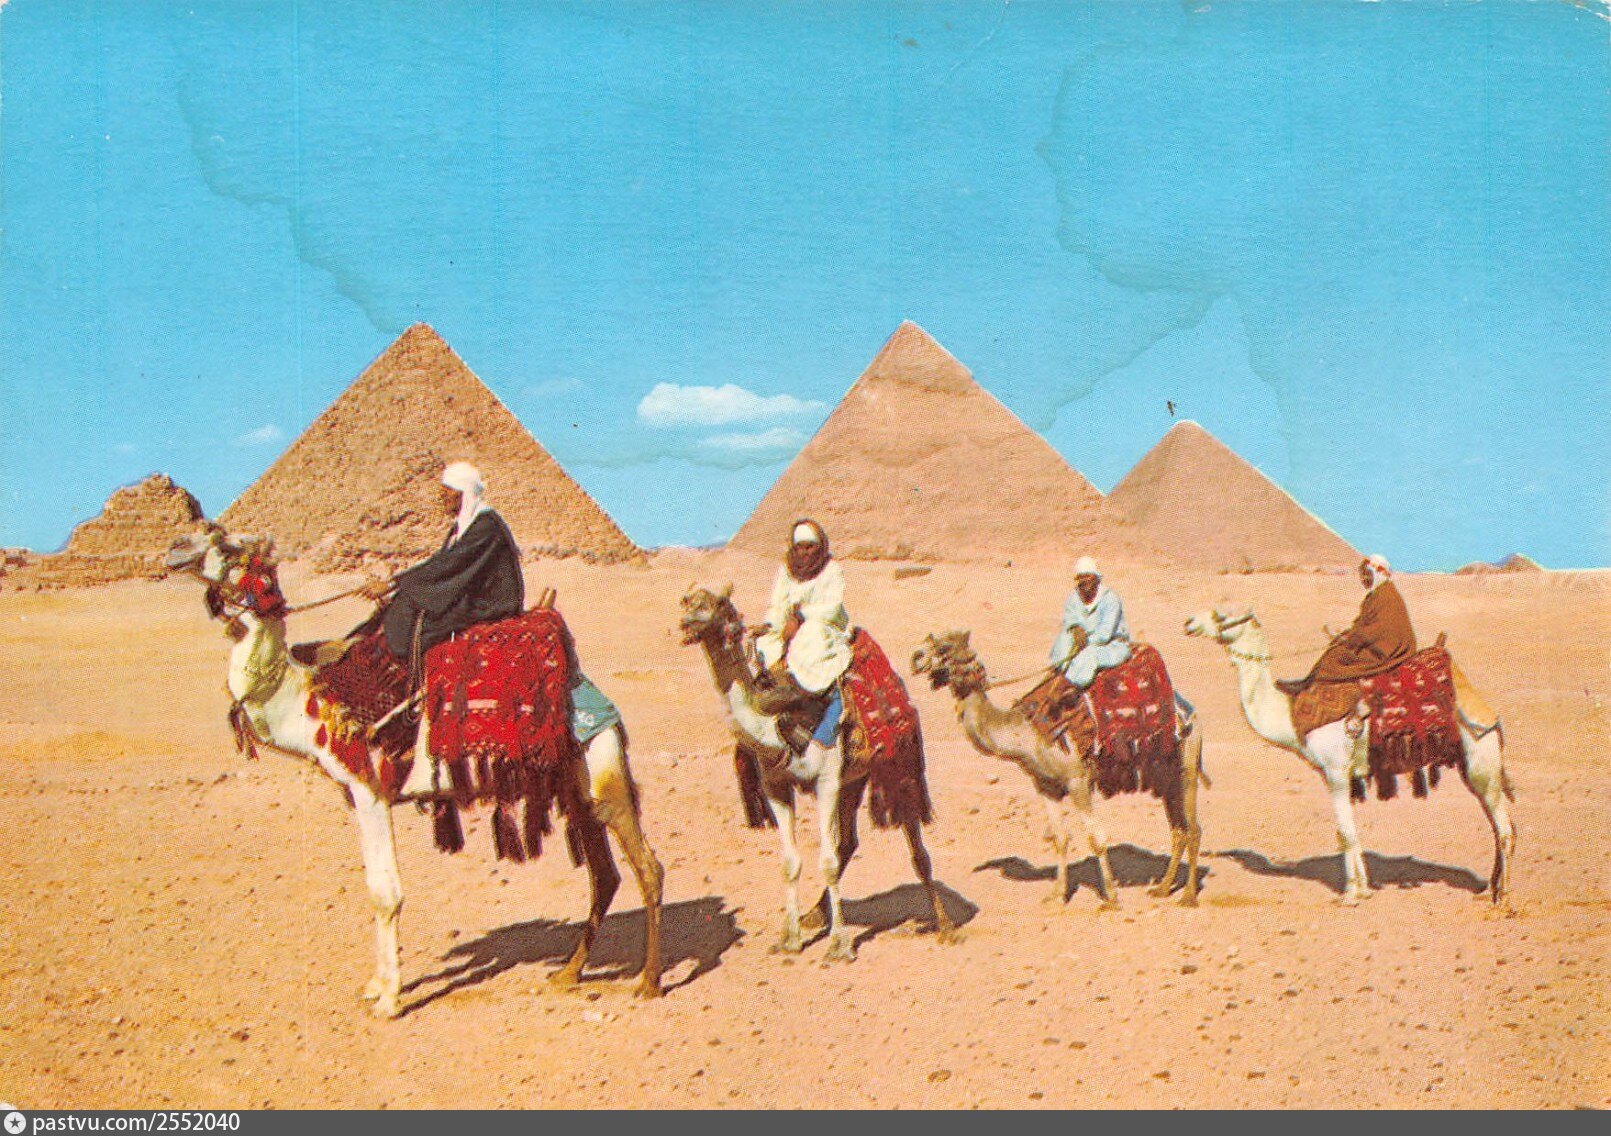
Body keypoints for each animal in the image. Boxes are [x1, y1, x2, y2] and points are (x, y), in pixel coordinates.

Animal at [165, 524, 664, 1017]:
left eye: (227, 543)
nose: (174, 548)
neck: (312, 703)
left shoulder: (369, 788)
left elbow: (385, 894)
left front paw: (389, 998)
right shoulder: (356, 796)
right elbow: (374, 886)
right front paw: (375, 986)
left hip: (602, 768)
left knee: (646, 866)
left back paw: (648, 982)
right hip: (573, 787)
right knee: (605, 874)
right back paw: (568, 972)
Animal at [678, 584, 955, 960]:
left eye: (715, 604)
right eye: (686, 600)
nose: (686, 622)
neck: (772, 725)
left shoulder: (826, 781)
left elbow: (826, 861)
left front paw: (839, 945)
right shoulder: (776, 785)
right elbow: (791, 862)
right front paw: (790, 938)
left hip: (899, 768)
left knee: (916, 850)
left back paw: (946, 926)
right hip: (854, 780)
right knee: (849, 843)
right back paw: (813, 915)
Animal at [912, 631, 1204, 909]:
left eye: (944, 648)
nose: (915, 657)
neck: (1026, 732)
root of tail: (1186, 708)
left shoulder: (1077, 779)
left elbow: (1096, 839)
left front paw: (1111, 898)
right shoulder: (1045, 785)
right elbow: (1060, 838)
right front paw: (1056, 895)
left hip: (1186, 766)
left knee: (1193, 828)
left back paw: (1188, 896)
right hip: (1166, 775)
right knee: (1178, 829)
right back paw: (1163, 888)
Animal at [1183, 608, 1515, 906]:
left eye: (1222, 615)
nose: (1189, 622)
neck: (1290, 714)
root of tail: (1489, 713)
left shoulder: (1336, 770)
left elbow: (1344, 833)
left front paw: (1351, 895)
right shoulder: (1334, 774)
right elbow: (1349, 832)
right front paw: (1362, 889)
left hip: (1482, 758)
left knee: (1505, 829)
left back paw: (1502, 899)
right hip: (1471, 766)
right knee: (1496, 825)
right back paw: (1488, 890)